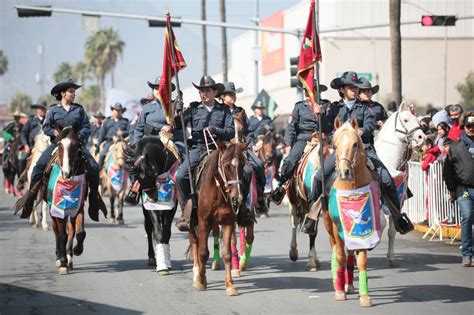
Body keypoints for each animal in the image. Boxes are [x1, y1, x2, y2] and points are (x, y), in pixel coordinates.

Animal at [125, 137, 179, 272]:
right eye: (137, 177)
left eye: (154, 173)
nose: (154, 198)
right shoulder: (151, 207)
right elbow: (158, 232)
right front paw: (162, 266)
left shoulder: (171, 206)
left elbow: (166, 232)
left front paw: (167, 261)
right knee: (149, 229)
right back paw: (151, 258)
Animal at [190, 142, 248, 298]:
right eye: (226, 166)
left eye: (242, 165)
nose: (237, 198)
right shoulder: (203, 222)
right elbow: (203, 252)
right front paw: (201, 281)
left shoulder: (228, 222)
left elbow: (227, 253)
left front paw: (230, 285)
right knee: (194, 241)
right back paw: (196, 272)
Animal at [286, 133, 330, 272]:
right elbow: (311, 230)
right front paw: (311, 263)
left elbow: (313, 229)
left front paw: (313, 260)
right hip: (293, 199)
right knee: (294, 222)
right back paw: (293, 252)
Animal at [322, 117, 386, 308]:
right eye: (334, 145)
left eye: (355, 144)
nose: (344, 172)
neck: (351, 187)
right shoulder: (337, 227)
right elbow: (340, 256)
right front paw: (339, 291)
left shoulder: (365, 230)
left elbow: (361, 260)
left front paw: (364, 296)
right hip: (329, 225)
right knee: (337, 250)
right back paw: (339, 282)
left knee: (350, 253)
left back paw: (349, 285)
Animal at [374, 102, 426, 268]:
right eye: (406, 120)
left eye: (418, 119)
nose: (422, 138)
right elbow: (381, 222)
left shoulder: (397, 199)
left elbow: (391, 230)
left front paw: (392, 258)